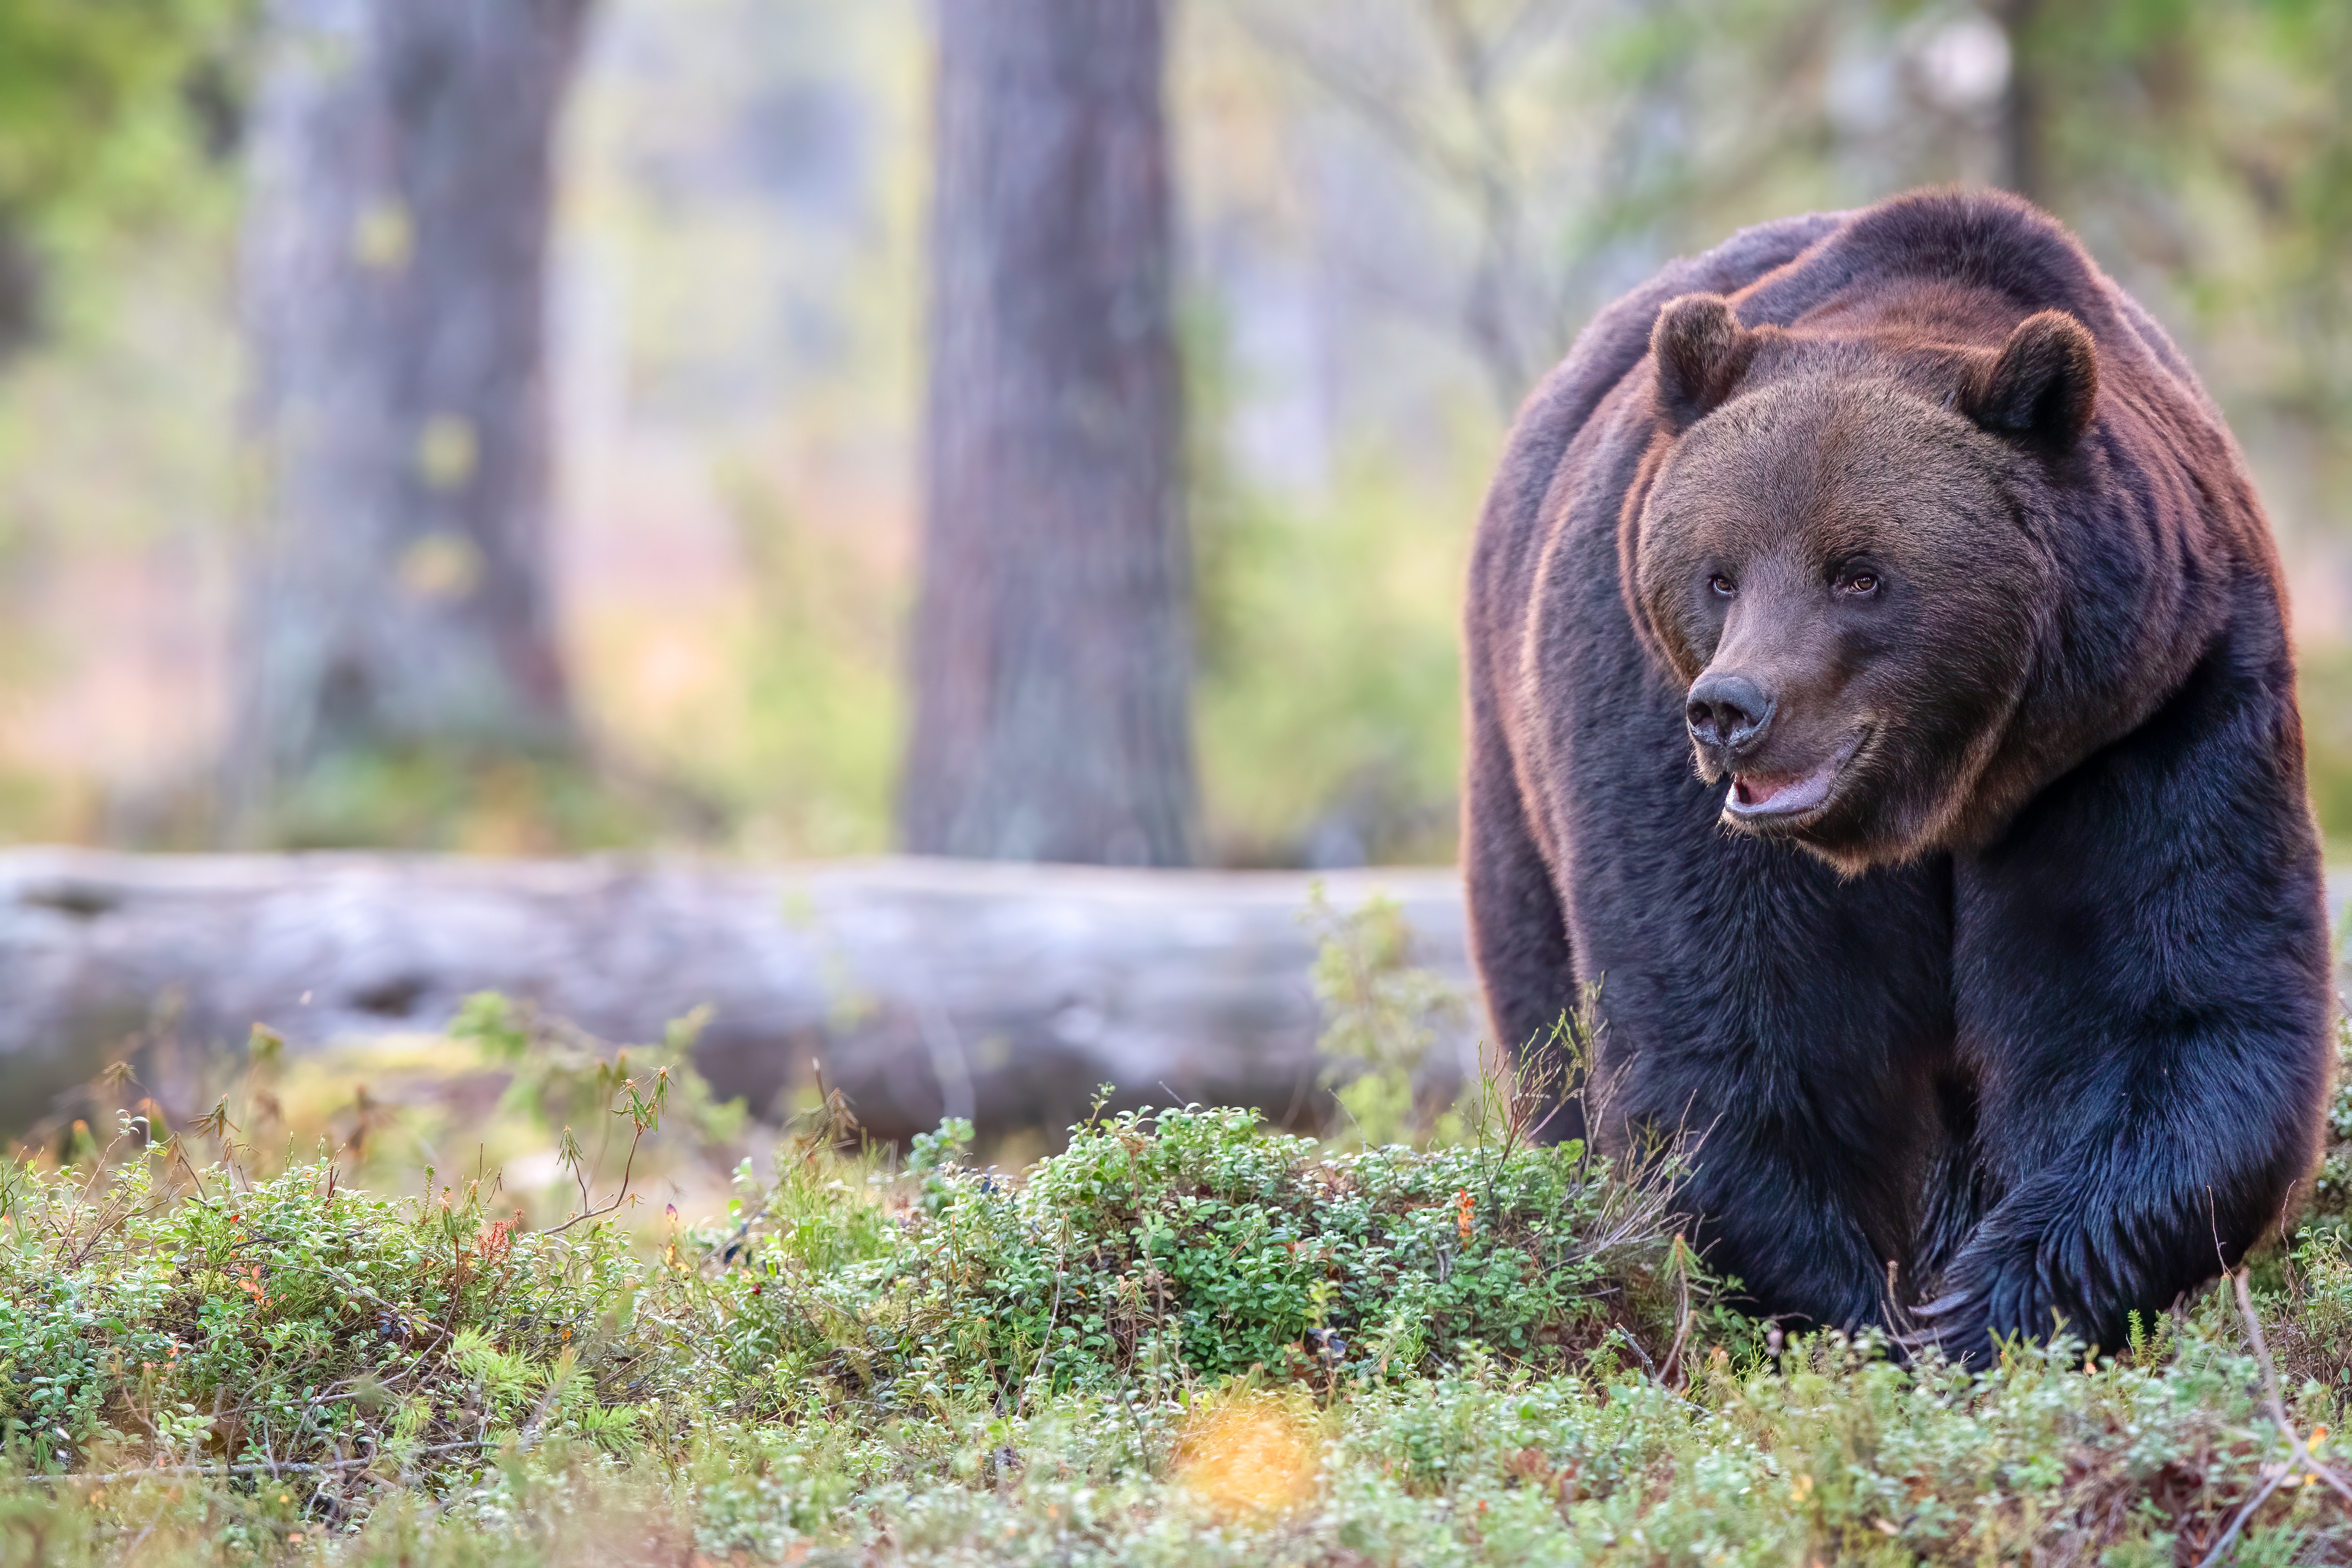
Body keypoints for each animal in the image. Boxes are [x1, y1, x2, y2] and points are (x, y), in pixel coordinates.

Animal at [1467, 190, 2333, 1354]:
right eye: (1718, 572)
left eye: (1860, 574)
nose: (1733, 711)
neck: (1947, 792)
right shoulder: (1649, 726)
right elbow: (1740, 1039)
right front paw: (1857, 1314)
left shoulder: (2150, 719)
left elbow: (2171, 1008)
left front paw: (1983, 1306)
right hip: (1515, 769)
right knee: (1549, 1014)